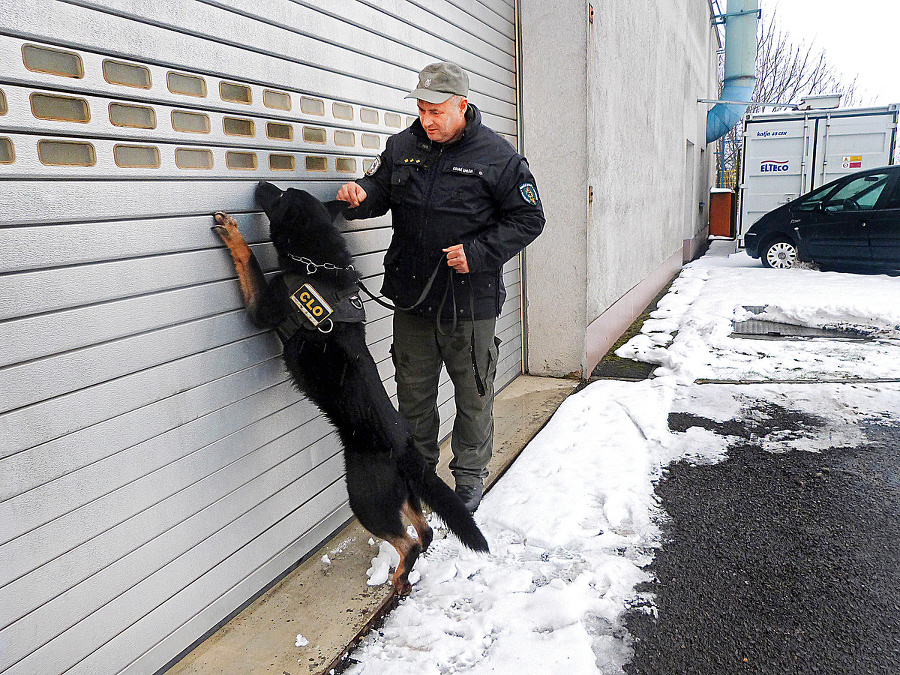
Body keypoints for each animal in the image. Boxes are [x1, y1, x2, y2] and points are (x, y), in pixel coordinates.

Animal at [214, 182, 488, 596]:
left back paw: (397, 576)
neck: (316, 265)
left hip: (363, 497)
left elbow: (249, 261)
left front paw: (233, 233)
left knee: (409, 541)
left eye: (280, 196)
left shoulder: (263, 307)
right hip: (402, 495)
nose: (260, 184)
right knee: (424, 532)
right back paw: (403, 577)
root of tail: (406, 447)